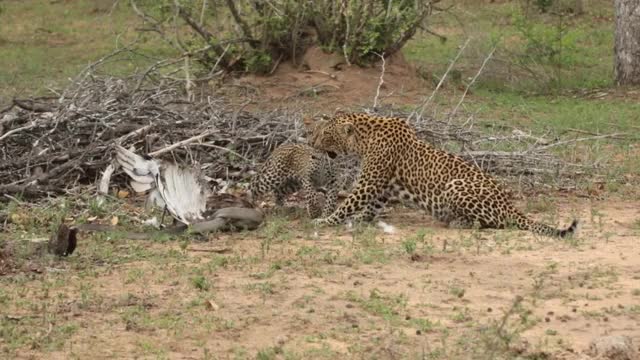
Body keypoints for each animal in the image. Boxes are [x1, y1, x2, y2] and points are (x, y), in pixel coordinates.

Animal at [302, 111, 576, 238]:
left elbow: (348, 204)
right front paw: (360, 220)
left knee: (491, 223)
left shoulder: (369, 181)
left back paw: (456, 222)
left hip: (456, 186)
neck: (364, 138)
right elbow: (372, 206)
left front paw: (325, 221)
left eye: (324, 134)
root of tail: (510, 206)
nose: (310, 143)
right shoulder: (383, 185)